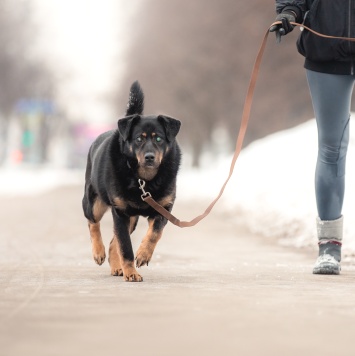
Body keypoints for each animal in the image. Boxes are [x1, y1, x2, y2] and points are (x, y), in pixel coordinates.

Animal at [82, 80, 182, 280]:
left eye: (159, 139)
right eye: (138, 139)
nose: (150, 157)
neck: (144, 179)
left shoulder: (163, 209)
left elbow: (154, 234)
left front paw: (143, 254)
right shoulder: (120, 212)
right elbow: (126, 247)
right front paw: (131, 273)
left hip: (132, 219)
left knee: (113, 242)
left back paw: (116, 267)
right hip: (94, 201)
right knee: (93, 222)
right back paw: (98, 252)